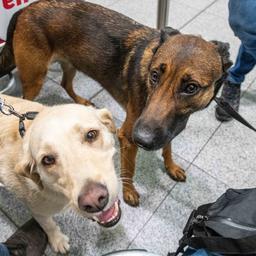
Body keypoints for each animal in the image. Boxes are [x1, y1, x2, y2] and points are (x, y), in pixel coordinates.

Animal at [0, 0, 232, 207]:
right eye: (154, 75)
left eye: (191, 88)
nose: (142, 139)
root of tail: (26, 9)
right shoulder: (127, 137)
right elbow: (129, 169)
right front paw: (129, 192)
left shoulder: (166, 129)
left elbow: (168, 147)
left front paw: (171, 166)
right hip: (35, 79)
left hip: (70, 63)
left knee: (66, 83)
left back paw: (81, 101)